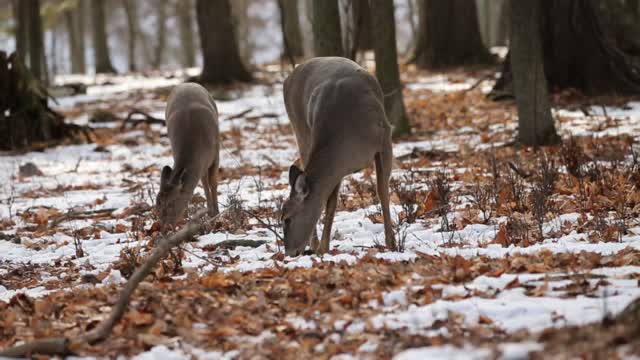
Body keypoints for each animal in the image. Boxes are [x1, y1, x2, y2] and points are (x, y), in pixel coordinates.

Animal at [156, 83, 221, 226]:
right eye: (156, 205)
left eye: (171, 203)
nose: (163, 226)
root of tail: (186, 83)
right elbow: (204, 182)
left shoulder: (216, 153)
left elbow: (213, 181)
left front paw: (216, 214)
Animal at [282, 57, 398, 256]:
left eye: (287, 219)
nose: (288, 252)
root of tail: (288, 78)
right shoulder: (338, 167)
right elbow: (331, 202)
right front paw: (323, 248)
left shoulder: (384, 138)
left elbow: (382, 192)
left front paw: (392, 244)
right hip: (301, 130)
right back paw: (314, 244)